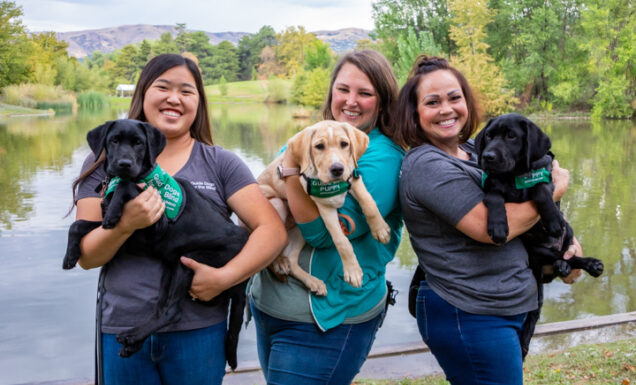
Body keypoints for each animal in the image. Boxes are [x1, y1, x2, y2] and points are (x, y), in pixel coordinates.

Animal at [63, 118, 248, 368]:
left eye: (138, 143)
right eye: (114, 140)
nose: (124, 164)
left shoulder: (156, 223)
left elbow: (127, 187)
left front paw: (114, 208)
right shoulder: (124, 234)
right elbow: (79, 225)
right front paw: (70, 256)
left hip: (189, 260)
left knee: (171, 311)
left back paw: (132, 336)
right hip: (169, 269)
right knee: (161, 310)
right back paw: (133, 341)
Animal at [258, 120, 388, 294]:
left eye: (344, 144)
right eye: (319, 146)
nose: (337, 169)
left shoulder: (352, 178)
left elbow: (369, 202)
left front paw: (380, 229)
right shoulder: (325, 206)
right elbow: (341, 240)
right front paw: (352, 271)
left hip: (300, 230)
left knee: (292, 261)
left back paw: (313, 282)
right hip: (276, 205)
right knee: (270, 249)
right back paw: (279, 262)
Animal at [474, 113, 604, 356]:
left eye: (511, 136)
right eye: (489, 136)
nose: (488, 156)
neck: (514, 175)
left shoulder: (547, 175)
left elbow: (540, 189)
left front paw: (551, 219)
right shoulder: (492, 183)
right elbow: (494, 196)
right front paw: (498, 226)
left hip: (568, 229)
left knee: (569, 255)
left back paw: (590, 264)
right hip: (535, 253)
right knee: (538, 303)